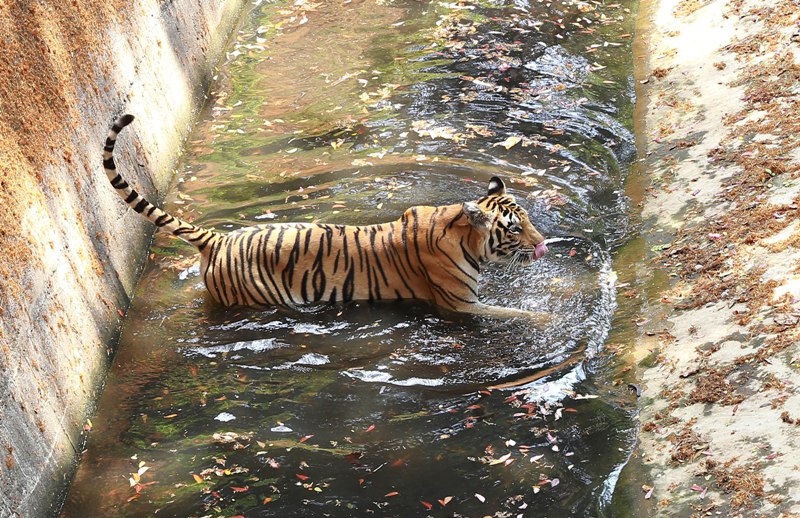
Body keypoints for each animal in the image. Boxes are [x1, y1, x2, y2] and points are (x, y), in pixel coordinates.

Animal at [103, 114, 549, 319]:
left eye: (527, 219)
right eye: (514, 229)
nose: (544, 243)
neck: (460, 230)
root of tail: (220, 238)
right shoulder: (461, 305)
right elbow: (519, 315)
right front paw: (548, 318)